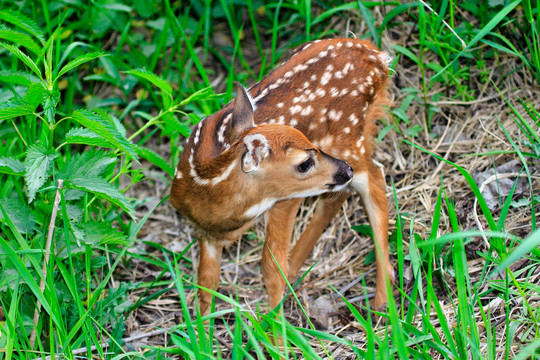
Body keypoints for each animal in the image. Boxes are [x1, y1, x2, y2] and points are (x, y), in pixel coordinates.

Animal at [171, 37, 394, 318]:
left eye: (306, 138)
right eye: (305, 163)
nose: (345, 170)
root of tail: (377, 57)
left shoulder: (284, 200)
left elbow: (270, 266)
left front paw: (277, 328)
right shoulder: (206, 232)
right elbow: (206, 282)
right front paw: (201, 327)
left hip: (349, 140)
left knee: (375, 180)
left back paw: (383, 302)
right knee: (342, 191)